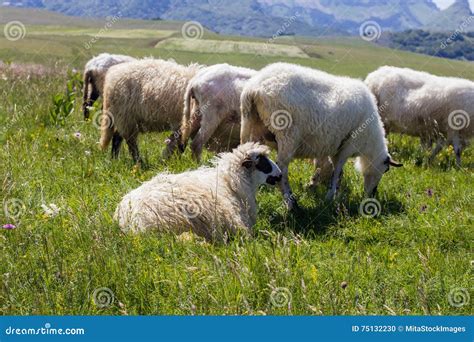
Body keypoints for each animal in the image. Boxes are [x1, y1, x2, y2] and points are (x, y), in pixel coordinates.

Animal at [239, 62, 402, 210]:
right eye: (386, 169)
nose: (372, 194)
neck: (370, 142)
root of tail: (254, 88)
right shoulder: (348, 145)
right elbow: (337, 171)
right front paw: (330, 196)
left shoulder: (332, 146)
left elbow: (328, 168)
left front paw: (317, 185)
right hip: (287, 133)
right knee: (282, 169)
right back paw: (291, 203)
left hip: (249, 126)